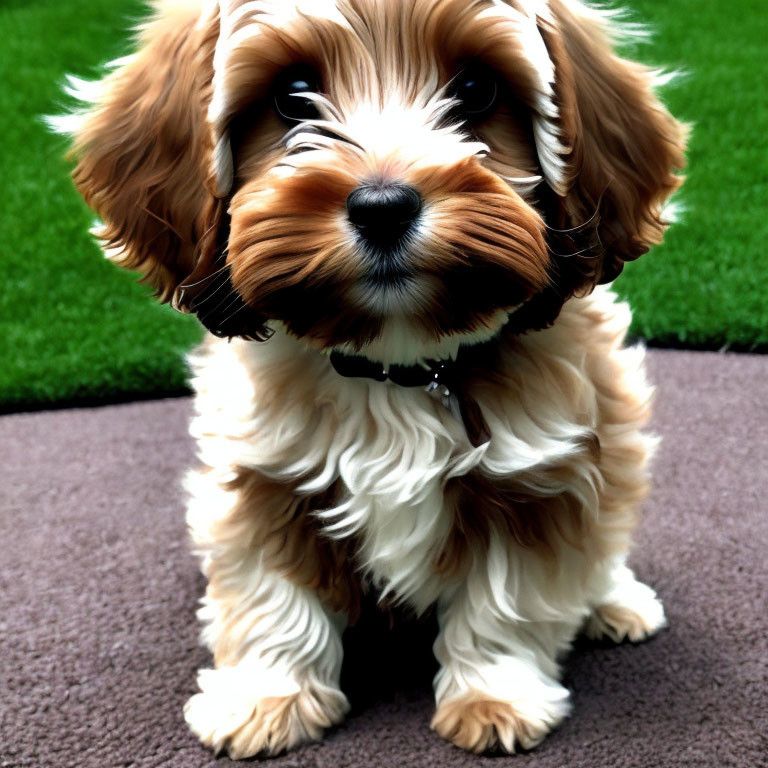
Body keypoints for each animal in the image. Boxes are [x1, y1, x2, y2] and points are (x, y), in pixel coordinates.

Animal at [58, 0, 684, 756]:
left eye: (476, 89)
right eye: (293, 94)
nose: (383, 206)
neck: (396, 368)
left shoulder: (538, 480)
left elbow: (509, 599)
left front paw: (494, 697)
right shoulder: (262, 477)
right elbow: (271, 596)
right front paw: (268, 698)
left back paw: (616, 601)